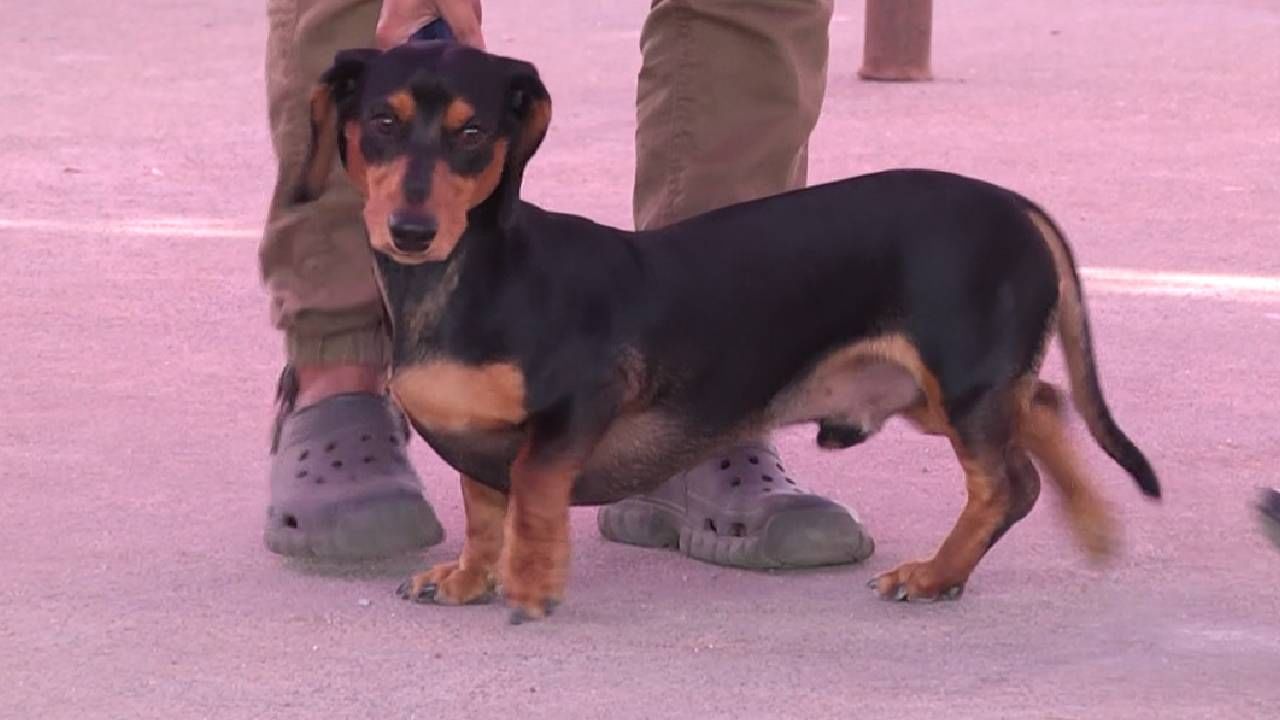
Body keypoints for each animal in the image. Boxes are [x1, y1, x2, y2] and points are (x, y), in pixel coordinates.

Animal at [296, 40, 1162, 622]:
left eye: (472, 134)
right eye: (380, 122)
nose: (410, 230)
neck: (475, 274)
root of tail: (1015, 203)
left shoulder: (577, 404)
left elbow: (535, 488)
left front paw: (533, 585)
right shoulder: (474, 431)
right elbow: (483, 507)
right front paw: (468, 577)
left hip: (962, 381)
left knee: (1006, 484)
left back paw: (935, 575)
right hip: (946, 392)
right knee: (1045, 407)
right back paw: (1087, 524)